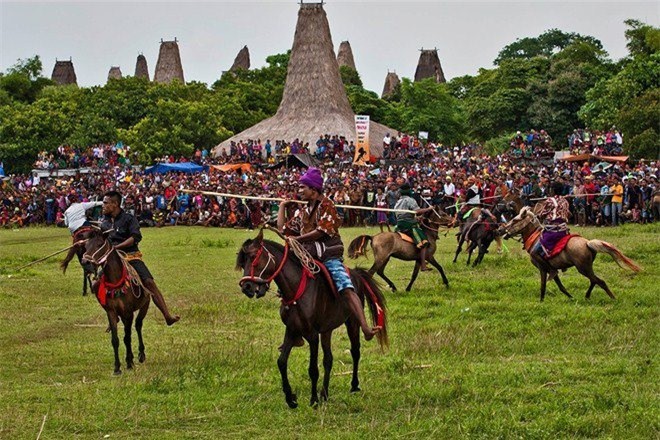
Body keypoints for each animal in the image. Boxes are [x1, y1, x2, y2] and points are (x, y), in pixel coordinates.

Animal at [81, 227, 151, 374]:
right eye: (86, 245)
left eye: (99, 244)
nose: (85, 262)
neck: (116, 281)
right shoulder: (112, 312)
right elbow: (115, 340)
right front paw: (117, 367)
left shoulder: (128, 312)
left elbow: (127, 337)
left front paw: (129, 363)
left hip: (144, 305)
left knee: (138, 326)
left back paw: (141, 354)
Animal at [236, 230, 386, 410]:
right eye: (242, 261)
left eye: (253, 257)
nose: (247, 287)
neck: (297, 289)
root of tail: (356, 274)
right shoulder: (292, 330)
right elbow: (281, 362)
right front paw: (291, 398)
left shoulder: (312, 335)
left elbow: (313, 369)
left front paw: (313, 400)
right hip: (327, 330)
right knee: (328, 359)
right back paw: (325, 394)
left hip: (352, 322)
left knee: (355, 351)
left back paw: (354, 384)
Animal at [500, 206, 640, 302]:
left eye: (515, 220)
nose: (502, 230)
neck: (534, 239)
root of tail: (588, 243)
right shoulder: (551, 269)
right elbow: (560, 286)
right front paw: (570, 297)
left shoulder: (542, 268)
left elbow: (543, 285)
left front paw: (541, 301)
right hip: (586, 268)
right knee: (594, 280)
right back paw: (587, 296)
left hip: (583, 268)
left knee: (599, 281)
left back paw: (612, 298)